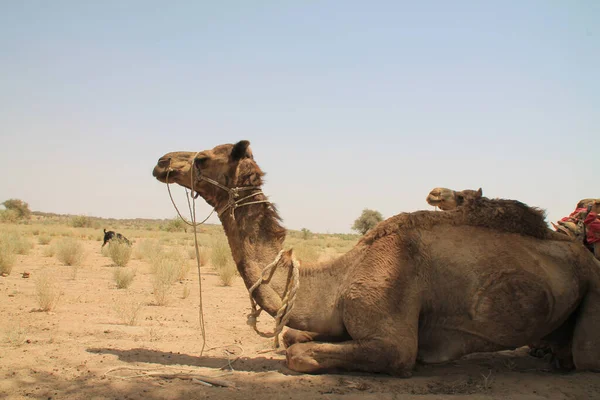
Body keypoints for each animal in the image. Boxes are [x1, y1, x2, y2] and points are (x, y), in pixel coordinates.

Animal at [152, 141, 600, 376]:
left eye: (203, 158)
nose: (161, 161)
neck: (336, 277)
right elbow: (294, 337)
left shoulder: (393, 339)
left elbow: (298, 353)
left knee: (584, 356)